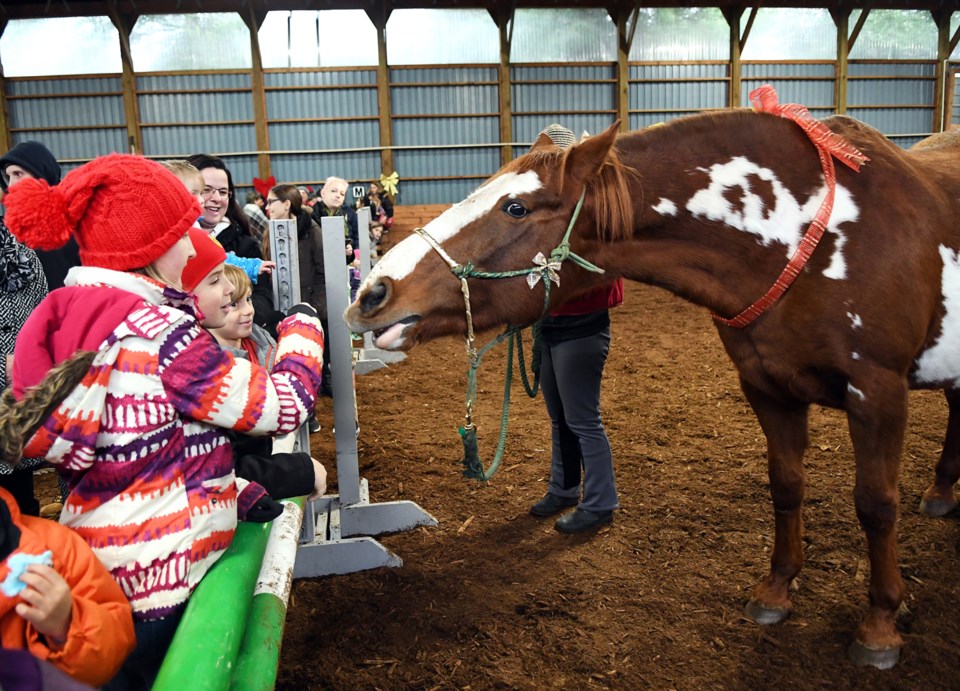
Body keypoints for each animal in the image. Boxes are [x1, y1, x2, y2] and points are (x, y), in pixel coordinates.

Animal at [348, 89, 960, 668]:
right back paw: (941, 493)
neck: (808, 234)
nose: (372, 293)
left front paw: (880, 623)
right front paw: (776, 591)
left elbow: (876, 505)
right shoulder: (766, 388)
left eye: (516, 206)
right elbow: (786, 486)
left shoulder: (877, 393)